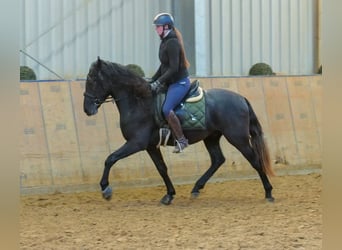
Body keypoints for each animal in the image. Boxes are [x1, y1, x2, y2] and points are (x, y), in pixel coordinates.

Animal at [83, 57, 276, 205]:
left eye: (92, 80)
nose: (87, 109)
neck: (139, 102)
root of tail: (241, 98)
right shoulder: (150, 146)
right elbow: (162, 168)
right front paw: (169, 195)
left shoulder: (136, 143)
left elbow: (110, 158)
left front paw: (105, 189)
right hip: (211, 137)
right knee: (218, 160)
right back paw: (196, 188)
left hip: (238, 138)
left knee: (255, 160)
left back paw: (268, 193)